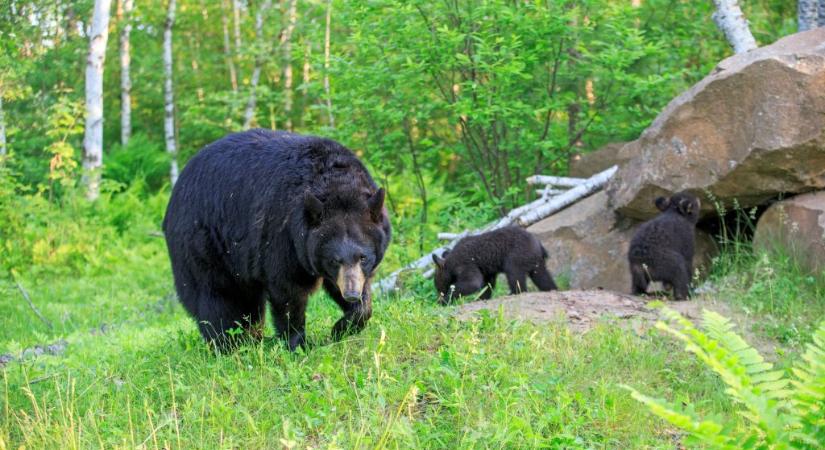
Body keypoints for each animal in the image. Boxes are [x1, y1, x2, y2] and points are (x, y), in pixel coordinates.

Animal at [163, 128, 392, 350]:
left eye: (363, 257)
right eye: (334, 260)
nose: (351, 293)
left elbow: (355, 293)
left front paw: (343, 325)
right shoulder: (282, 236)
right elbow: (288, 291)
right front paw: (297, 343)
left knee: (248, 302)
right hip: (203, 245)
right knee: (217, 299)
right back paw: (230, 344)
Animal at [428, 227, 556, 304]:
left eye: (438, 286)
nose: (439, 295)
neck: (451, 262)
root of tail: (539, 245)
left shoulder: (466, 263)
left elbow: (472, 282)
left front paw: (445, 300)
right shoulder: (486, 270)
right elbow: (487, 284)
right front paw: (482, 297)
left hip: (517, 255)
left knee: (514, 274)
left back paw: (513, 292)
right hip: (536, 262)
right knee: (542, 277)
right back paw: (551, 288)